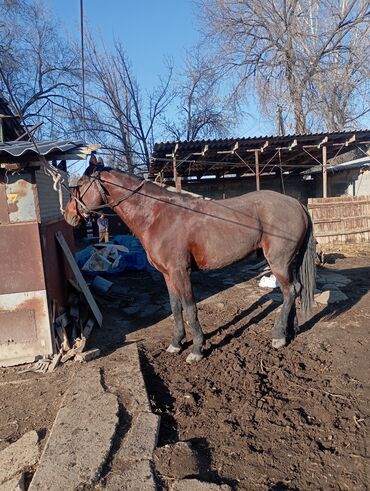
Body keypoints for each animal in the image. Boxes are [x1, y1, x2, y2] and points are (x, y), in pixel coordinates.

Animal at [63, 168, 316, 362]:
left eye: (79, 186)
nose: (68, 216)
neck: (156, 214)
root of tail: (296, 204)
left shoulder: (181, 273)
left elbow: (190, 308)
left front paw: (196, 349)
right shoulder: (168, 275)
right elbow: (175, 308)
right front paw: (176, 343)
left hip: (279, 262)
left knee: (289, 291)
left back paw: (278, 336)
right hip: (289, 263)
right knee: (294, 291)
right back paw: (289, 331)